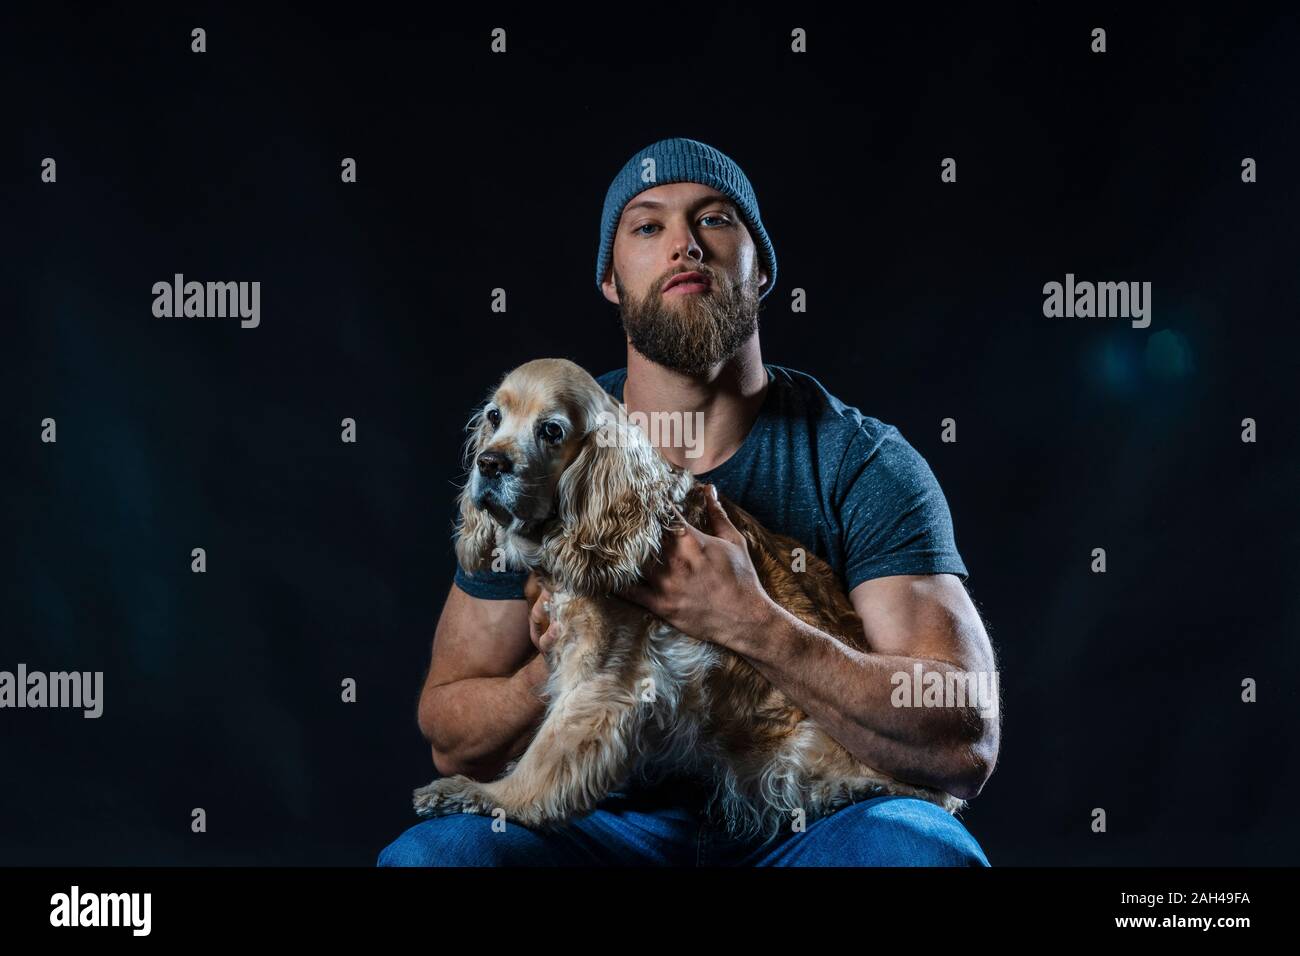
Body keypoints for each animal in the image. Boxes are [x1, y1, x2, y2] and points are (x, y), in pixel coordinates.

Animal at [416, 356, 967, 837]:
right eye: (495, 416)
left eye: (551, 431)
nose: (489, 463)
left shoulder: (605, 680)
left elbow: (548, 757)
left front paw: (491, 796)